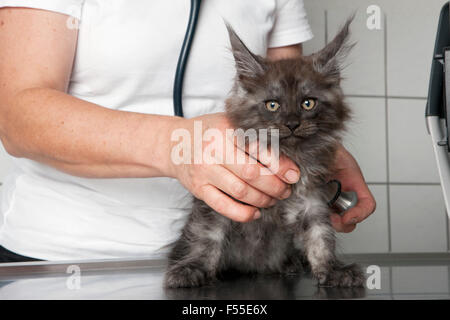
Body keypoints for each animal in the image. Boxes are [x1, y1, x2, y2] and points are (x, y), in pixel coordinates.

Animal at [163, 16, 364, 288]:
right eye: (273, 105)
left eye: (308, 103)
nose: (292, 124)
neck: (289, 155)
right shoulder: (218, 200)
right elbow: (207, 237)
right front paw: (193, 269)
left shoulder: (312, 201)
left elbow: (321, 237)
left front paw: (332, 270)